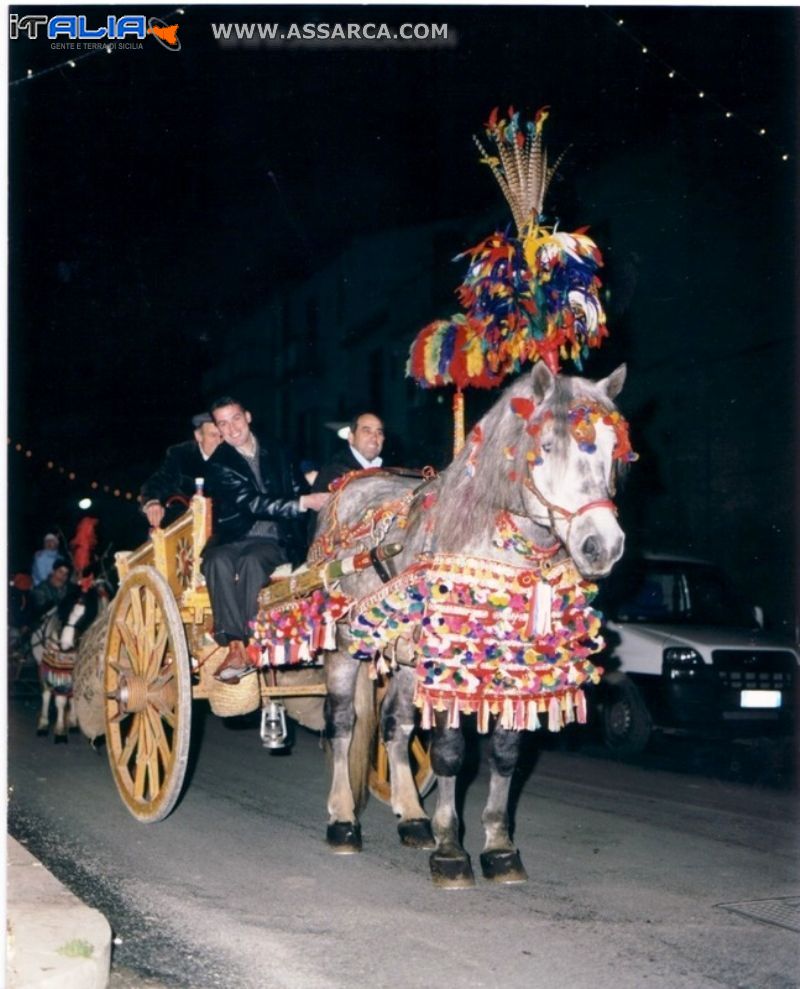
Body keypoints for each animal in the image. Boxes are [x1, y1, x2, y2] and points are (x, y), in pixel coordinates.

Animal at [316, 362, 636, 888]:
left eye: (614, 450)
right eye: (547, 446)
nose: (602, 547)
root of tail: (350, 487)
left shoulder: (517, 666)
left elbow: (505, 753)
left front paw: (499, 847)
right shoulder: (449, 663)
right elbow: (449, 751)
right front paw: (450, 850)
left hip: (408, 661)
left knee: (396, 726)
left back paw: (412, 818)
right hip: (343, 644)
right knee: (342, 723)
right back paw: (343, 820)